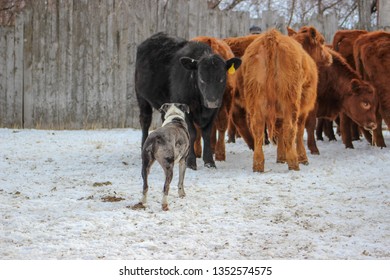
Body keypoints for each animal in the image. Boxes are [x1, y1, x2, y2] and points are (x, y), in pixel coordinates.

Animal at [135, 32, 241, 170]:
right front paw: (190, 161)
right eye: (201, 78)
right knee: (145, 121)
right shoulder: (186, 108)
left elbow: (207, 133)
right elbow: (192, 133)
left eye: (222, 78)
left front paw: (209, 161)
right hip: (141, 97)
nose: (211, 101)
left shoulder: (214, 111)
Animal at [232, 29, 332, 173]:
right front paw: (302, 158)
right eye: (322, 41)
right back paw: (294, 163)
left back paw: (258, 164)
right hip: (290, 100)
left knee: (257, 128)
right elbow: (299, 132)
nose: (330, 56)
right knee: (290, 129)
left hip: (257, 99)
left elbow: (279, 131)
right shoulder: (303, 109)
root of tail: (272, 36)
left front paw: (281, 157)